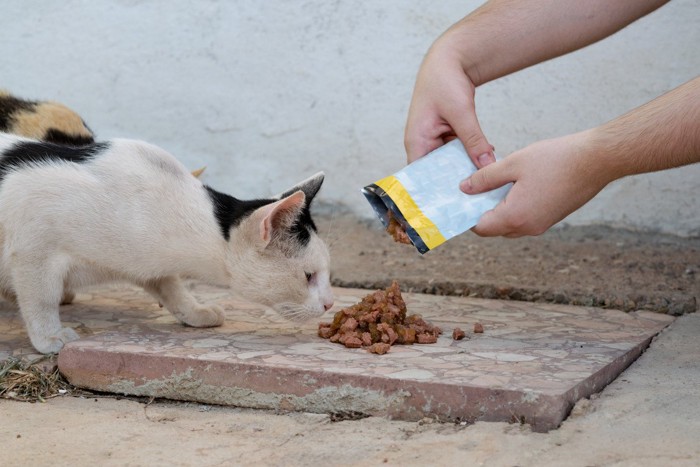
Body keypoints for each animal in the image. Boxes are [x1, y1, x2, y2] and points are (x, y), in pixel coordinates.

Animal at [0, 133, 334, 354]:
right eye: (308, 276)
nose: (331, 304)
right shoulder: (34, 249)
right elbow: (41, 299)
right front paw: (49, 338)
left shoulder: (148, 265)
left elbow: (172, 288)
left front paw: (196, 312)